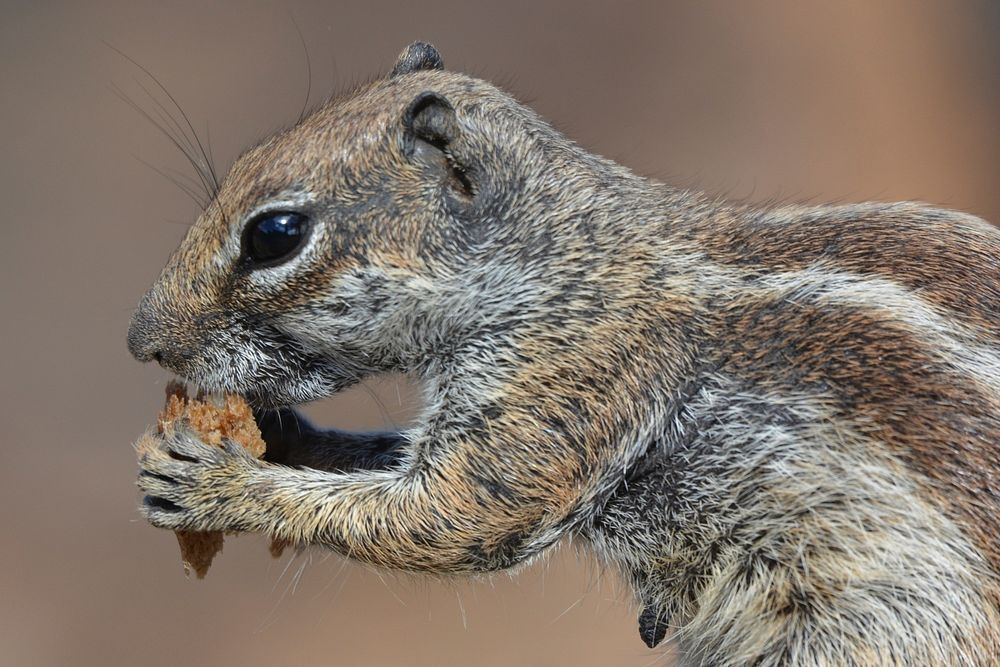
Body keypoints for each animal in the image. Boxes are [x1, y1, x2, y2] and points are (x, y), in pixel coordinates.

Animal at [131, 43, 1000, 667]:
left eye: (275, 234)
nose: (141, 340)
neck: (559, 255)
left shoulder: (562, 380)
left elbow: (447, 514)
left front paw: (220, 484)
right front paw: (287, 438)